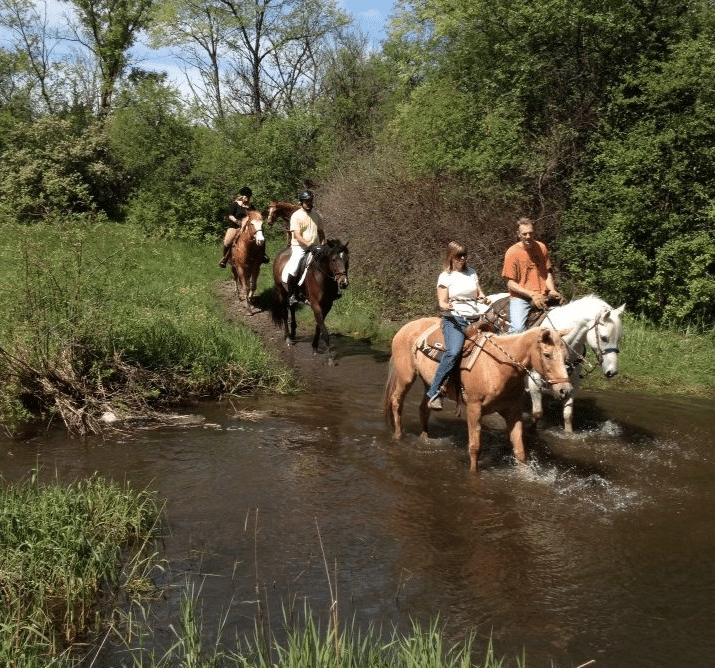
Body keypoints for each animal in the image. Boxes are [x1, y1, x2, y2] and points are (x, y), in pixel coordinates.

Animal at [384, 320, 572, 472]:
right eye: (547, 355)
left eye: (565, 357)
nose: (565, 390)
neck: (497, 366)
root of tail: (406, 327)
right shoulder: (474, 408)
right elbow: (475, 448)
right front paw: (474, 474)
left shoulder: (512, 410)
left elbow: (520, 450)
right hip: (406, 377)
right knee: (396, 402)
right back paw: (398, 435)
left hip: (429, 383)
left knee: (424, 409)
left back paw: (424, 437)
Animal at [482, 294, 628, 434]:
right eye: (604, 338)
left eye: (619, 338)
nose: (612, 371)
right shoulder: (534, 381)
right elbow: (537, 413)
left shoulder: (573, 383)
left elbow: (568, 415)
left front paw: (569, 435)